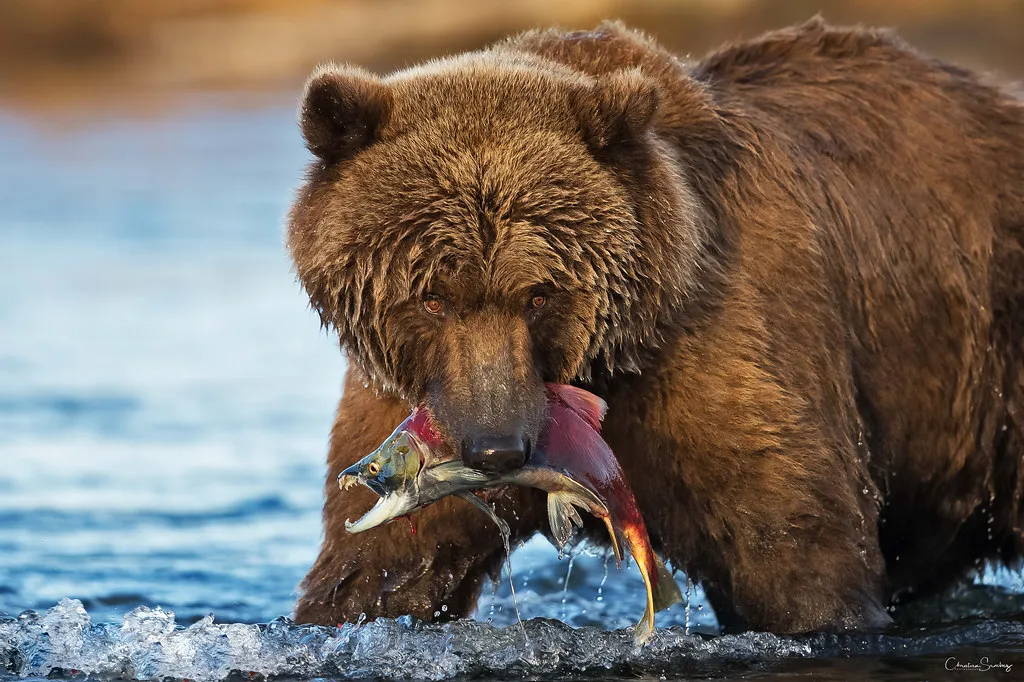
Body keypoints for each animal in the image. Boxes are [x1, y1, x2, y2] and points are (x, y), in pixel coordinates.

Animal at [286, 18, 1024, 634]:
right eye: (433, 297)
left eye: (539, 295)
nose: (498, 449)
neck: (607, 359)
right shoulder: (406, 403)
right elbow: (376, 573)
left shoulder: (720, 348)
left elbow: (793, 553)